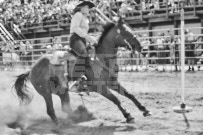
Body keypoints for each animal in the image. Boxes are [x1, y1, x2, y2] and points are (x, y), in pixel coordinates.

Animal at [13, 18, 151, 124]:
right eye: (126, 32)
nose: (140, 47)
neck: (101, 58)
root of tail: (31, 70)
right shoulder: (100, 87)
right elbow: (116, 99)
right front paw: (128, 116)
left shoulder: (113, 82)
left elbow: (129, 94)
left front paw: (145, 110)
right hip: (46, 92)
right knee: (50, 110)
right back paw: (61, 123)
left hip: (62, 90)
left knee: (65, 107)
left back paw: (78, 116)